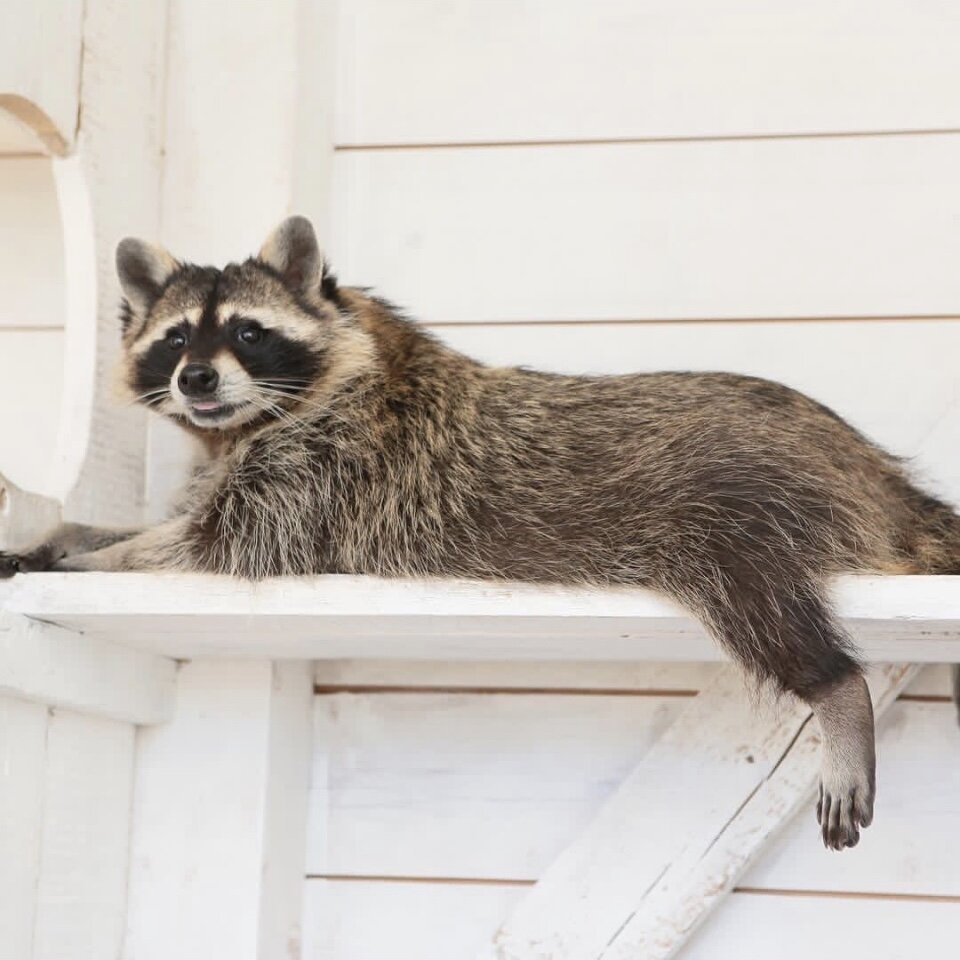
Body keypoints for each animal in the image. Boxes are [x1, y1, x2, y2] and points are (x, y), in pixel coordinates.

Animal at [1, 218, 960, 848]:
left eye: (246, 330)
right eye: (173, 340)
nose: (198, 379)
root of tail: (873, 473)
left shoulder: (329, 477)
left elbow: (213, 542)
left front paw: (95, 557)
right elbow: (173, 521)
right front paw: (70, 529)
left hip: (734, 505)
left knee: (761, 599)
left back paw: (836, 690)